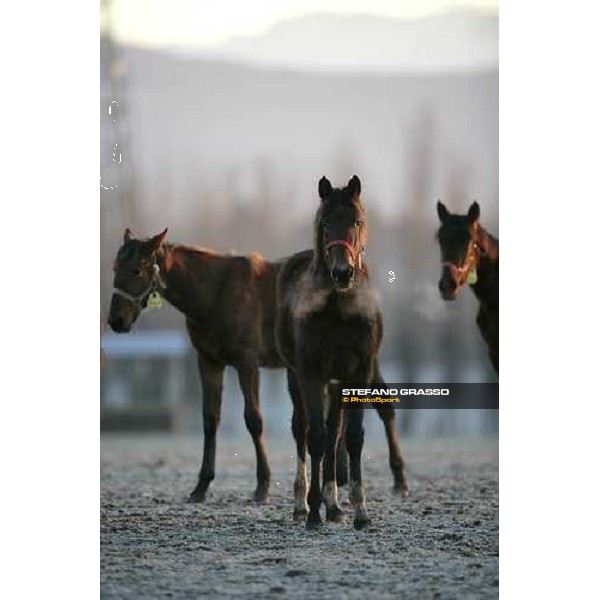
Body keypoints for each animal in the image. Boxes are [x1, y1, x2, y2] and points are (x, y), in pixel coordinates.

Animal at [108, 227, 408, 504]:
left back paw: (398, 479)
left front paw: (262, 485)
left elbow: (254, 419)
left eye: (136, 270)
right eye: (115, 268)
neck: (215, 293)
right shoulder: (208, 361)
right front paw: (201, 486)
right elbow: (209, 420)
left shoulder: (247, 362)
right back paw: (341, 477)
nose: (116, 321)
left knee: (384, 407)